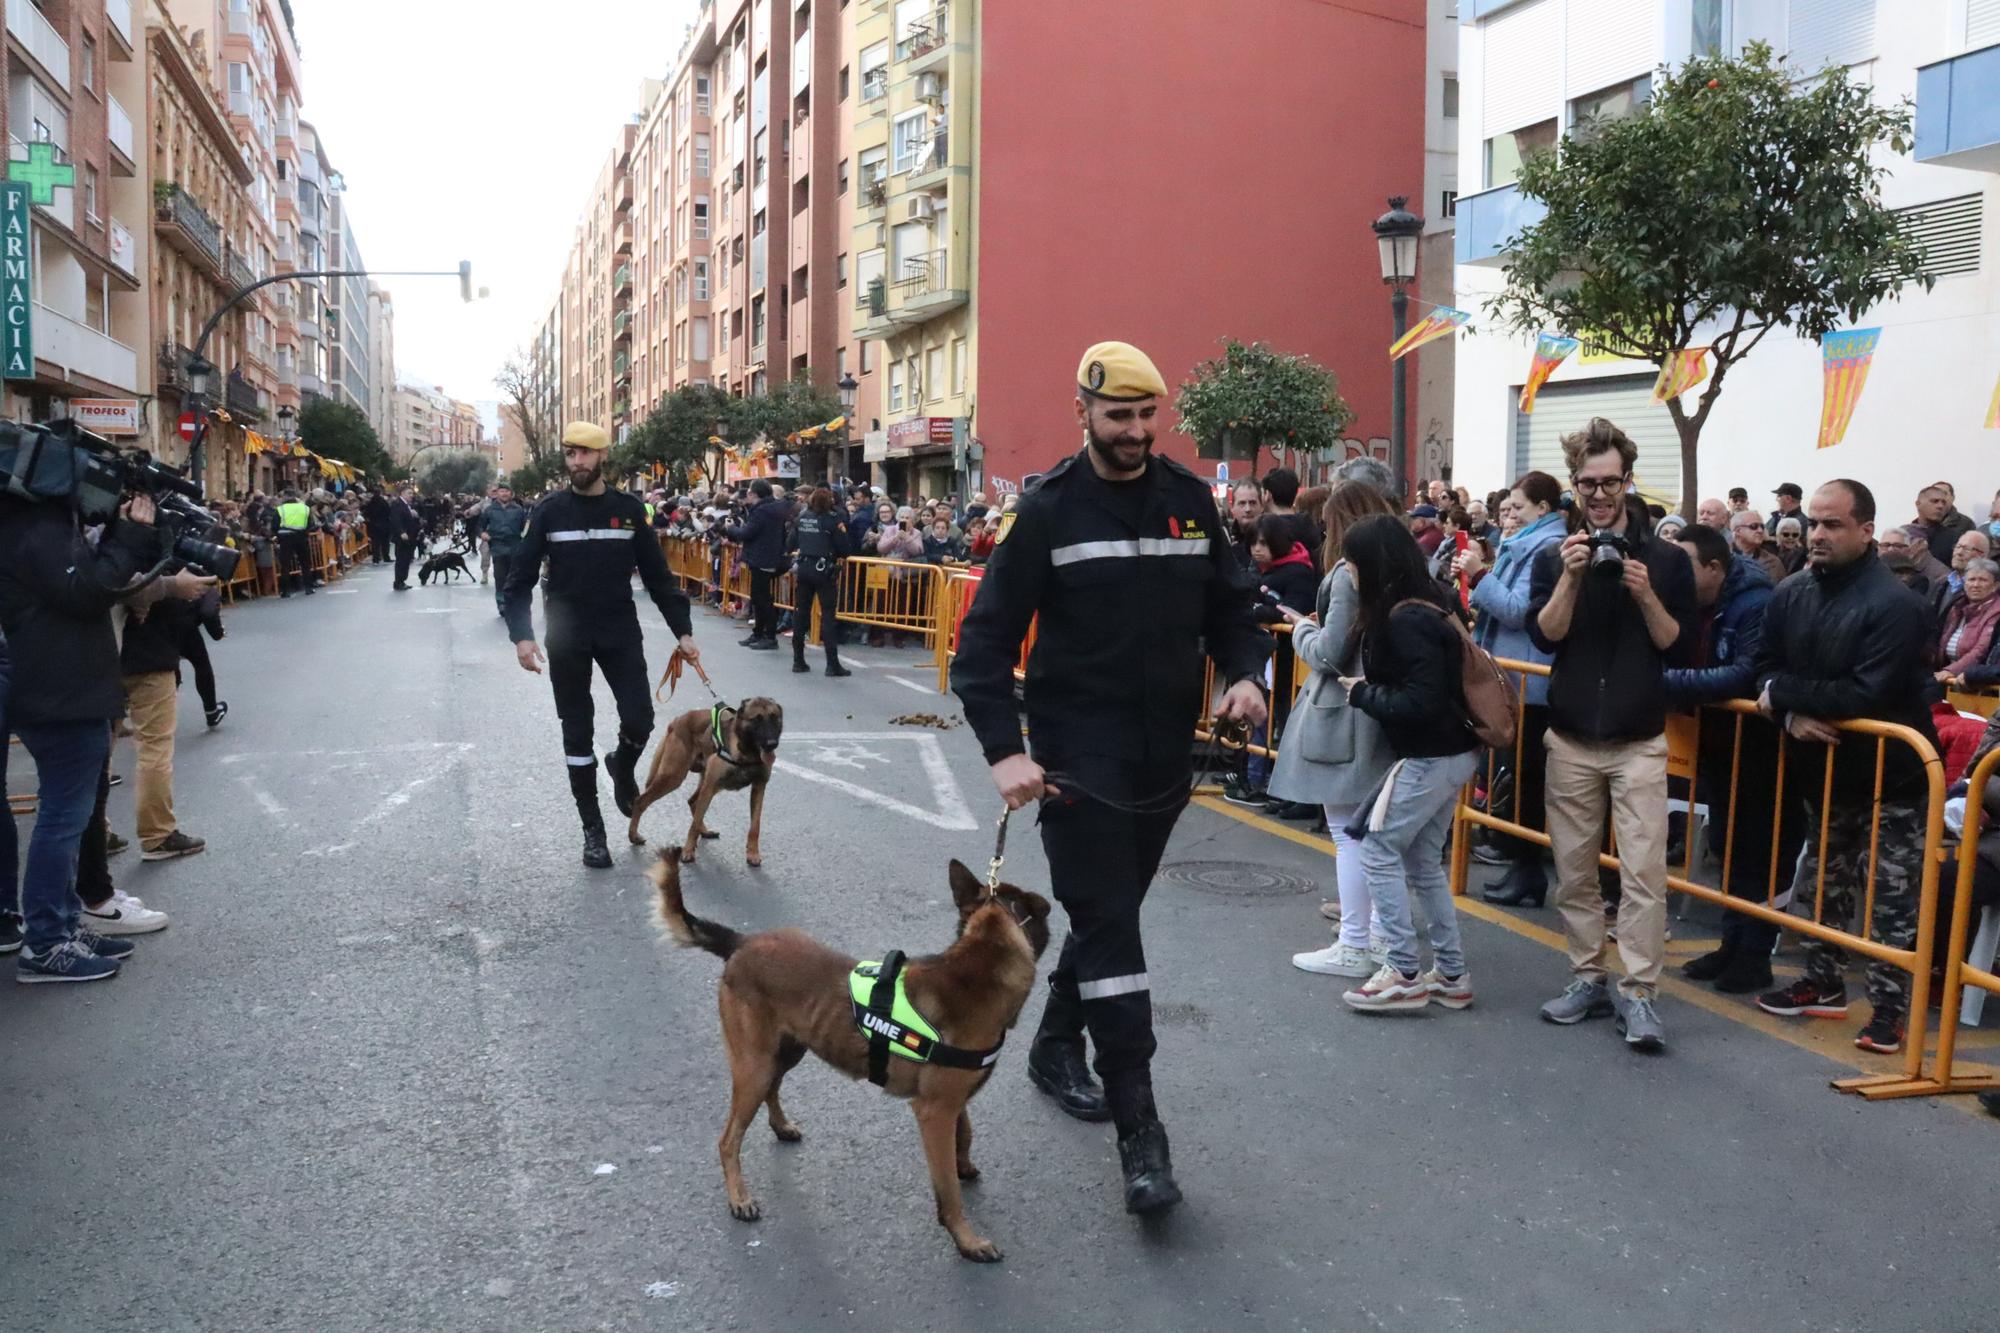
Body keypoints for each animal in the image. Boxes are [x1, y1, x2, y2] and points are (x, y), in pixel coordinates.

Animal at [628, 696, 784, 860]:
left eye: (775, 718)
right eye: (756, 720)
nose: (772, 744)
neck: (747, 753)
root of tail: (678, 720)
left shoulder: (759, 787)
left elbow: (755, 825)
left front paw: (753, 853)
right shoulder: (710, 786)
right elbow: (694, 824)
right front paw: (688, 850)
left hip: (706, 783)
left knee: (692, 802)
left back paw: (704, 831)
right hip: (675, 777)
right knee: (641, 801)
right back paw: (633, 835)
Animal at [656, 844, 1064, 1264]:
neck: (978, 968)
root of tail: (741, 943)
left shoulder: (953, 1100)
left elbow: (965, 1133)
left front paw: (964, 1164)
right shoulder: (934, 1111)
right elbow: (948, 1189)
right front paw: (966, 1239)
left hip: (786, 1052)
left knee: (773, 1088)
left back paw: (780, 1126)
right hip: (754, 1065)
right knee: (728, 1139)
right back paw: (739, 1197)